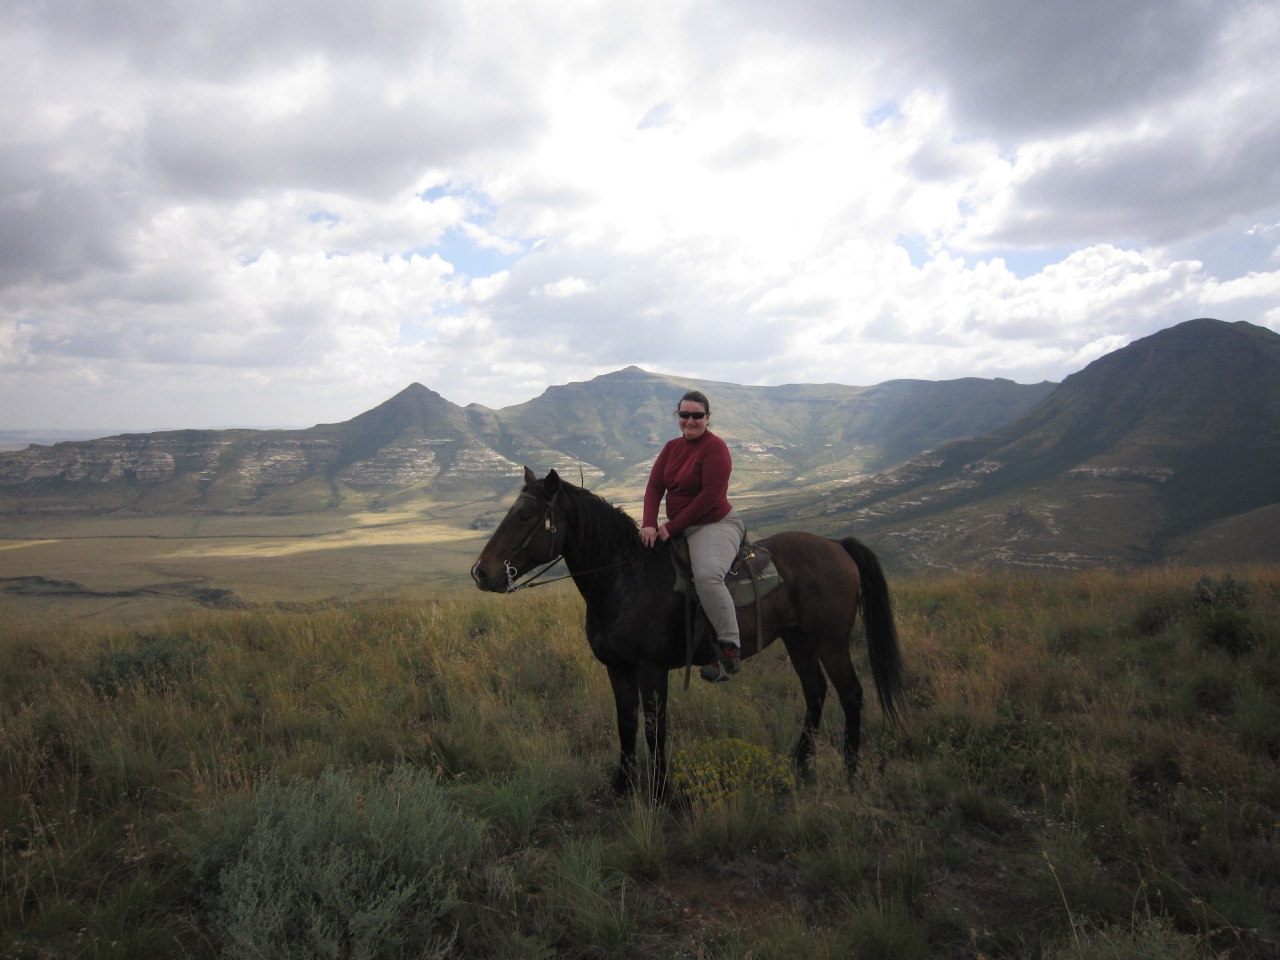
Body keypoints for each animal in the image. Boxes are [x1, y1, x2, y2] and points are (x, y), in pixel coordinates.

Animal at [471, 467, 905, 796]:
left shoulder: (651, 669)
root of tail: (838, 546)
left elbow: (654, 727)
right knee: (815, 692)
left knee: (851, 694)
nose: (481, 573)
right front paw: (622, 785)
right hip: (797, 639)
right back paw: (798, 764)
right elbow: (626, 724)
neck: (624, 578)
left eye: (525, 517)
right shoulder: (618, 669)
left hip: (831, 642)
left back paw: (850, 772)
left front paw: (659, 790)